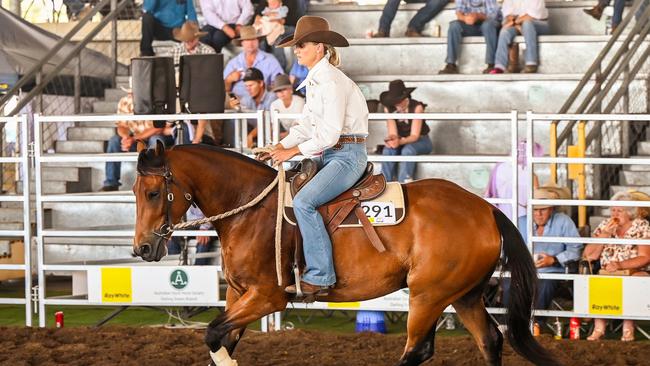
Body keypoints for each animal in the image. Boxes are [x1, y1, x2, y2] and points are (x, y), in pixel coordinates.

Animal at [132, 142, 556, 366]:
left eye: (153, 193)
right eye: (135, 191)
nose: (142, 247)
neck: (250, 210)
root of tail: (486, 211)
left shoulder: (268, 297)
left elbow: (213, 332)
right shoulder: (239, 295)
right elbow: (221, 338)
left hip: (428, 295)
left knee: (418, 349)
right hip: (463, 295)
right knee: (490, 340)